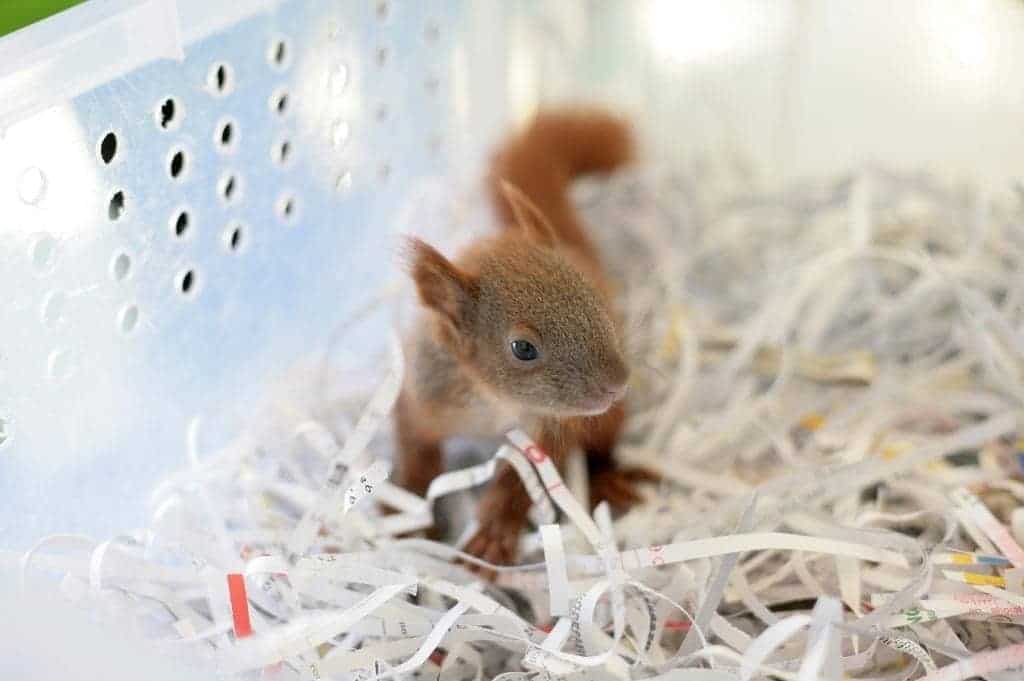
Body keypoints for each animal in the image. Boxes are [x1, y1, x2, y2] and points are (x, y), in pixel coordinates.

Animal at [395, 109, 657, 569]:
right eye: (523, 348)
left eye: (595, 300)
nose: (616, 384)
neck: (491, 402)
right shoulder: (424, 393)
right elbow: (413, 443)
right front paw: (404, 511)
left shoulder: (552, 428)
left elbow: (521, 478)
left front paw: (492, 535)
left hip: (608, 419)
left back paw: (608, 479)